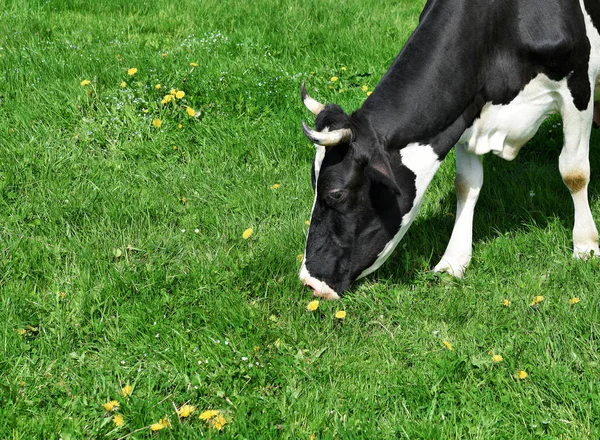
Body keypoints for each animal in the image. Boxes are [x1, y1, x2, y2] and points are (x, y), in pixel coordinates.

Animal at [298, 0, 600, 300]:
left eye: (336, 194)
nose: (309, 281)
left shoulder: (577, 86)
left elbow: (574, 173)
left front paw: (585, 246)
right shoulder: (468, 109)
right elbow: (466, 185)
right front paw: (453, 262)